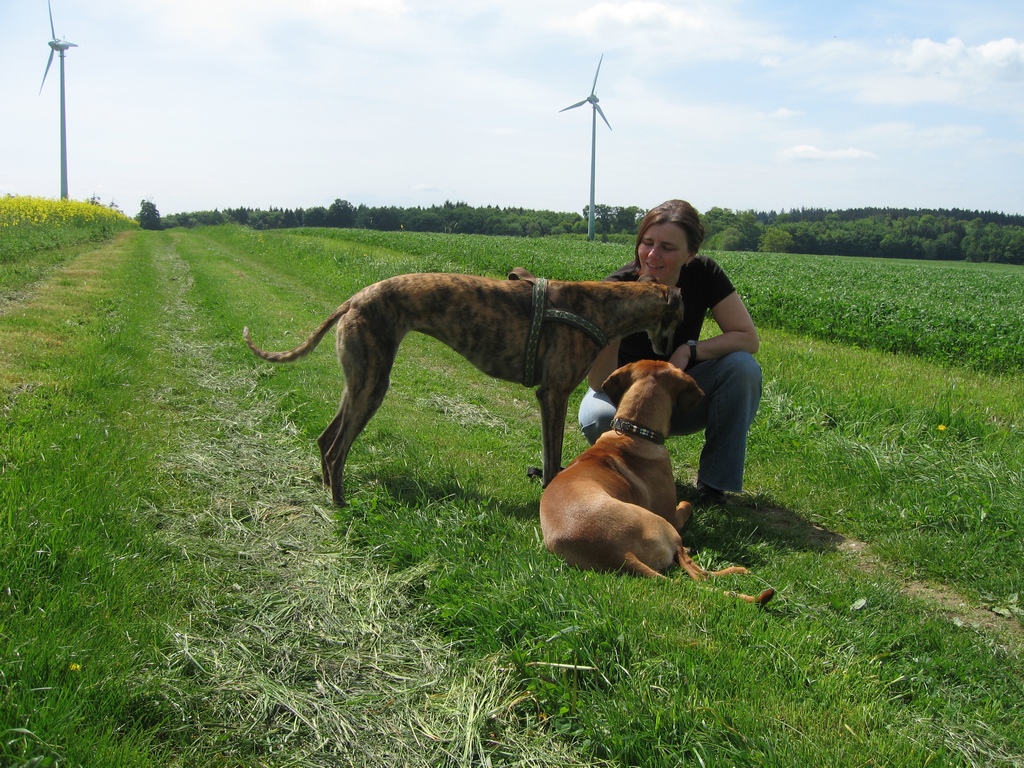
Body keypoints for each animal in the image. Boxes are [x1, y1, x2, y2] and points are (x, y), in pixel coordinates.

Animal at [243, 271, 683, 506]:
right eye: (678, 317)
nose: (671, 352)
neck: (599, 307)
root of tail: (353, 299)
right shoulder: (552, 395)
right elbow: (552, 459)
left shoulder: (550, 396)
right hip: (371, 385)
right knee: (336, 450)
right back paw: (339, 503)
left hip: (358, 384)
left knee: (325, 439)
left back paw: (325, 489)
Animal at [539, 360, 774, 605]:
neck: (635, 432)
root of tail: (620, 554)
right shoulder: (671, 515)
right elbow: (687, 504)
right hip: (665, 525)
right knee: (697, 573)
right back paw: (736, 570)